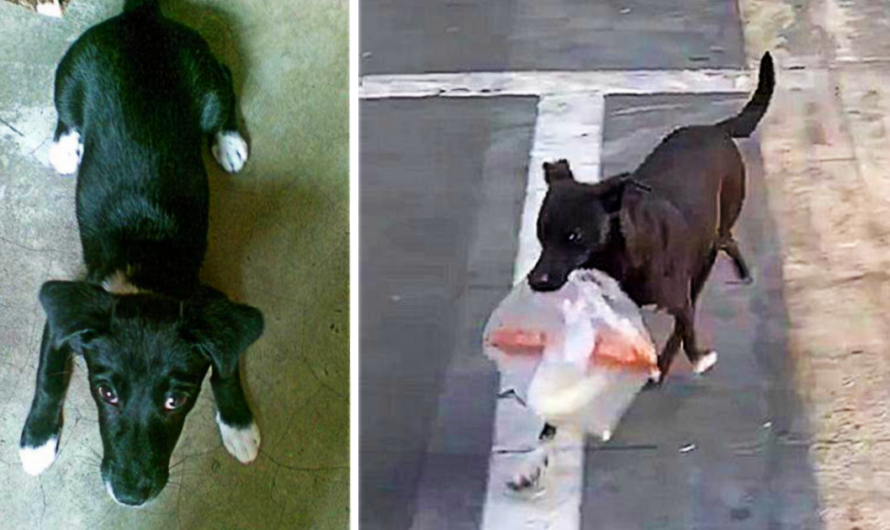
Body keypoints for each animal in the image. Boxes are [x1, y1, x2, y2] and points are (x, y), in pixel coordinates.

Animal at [20, 0, 264, 506]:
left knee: (227, 83)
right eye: (105, 393)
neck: (148, 272)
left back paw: (229, 141)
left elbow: (226, 367)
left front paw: (239, 424)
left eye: (177, 400)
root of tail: (141, 16)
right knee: (67, 113)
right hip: (67, 79)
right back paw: (65, 146)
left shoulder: (215, 308)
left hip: (208, 87)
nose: (131, 495)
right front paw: (36, 441)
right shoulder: (67, 315)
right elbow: (48, 377)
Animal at [510, 51, 772, 488]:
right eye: (541, 232)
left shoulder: (678, 296)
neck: (613, 259)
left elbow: (685, 329)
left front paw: (693, 358)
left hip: (711, 240)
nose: (536, 281)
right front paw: (532, 460)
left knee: (721, 251)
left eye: (574, 236)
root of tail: (716, 130)